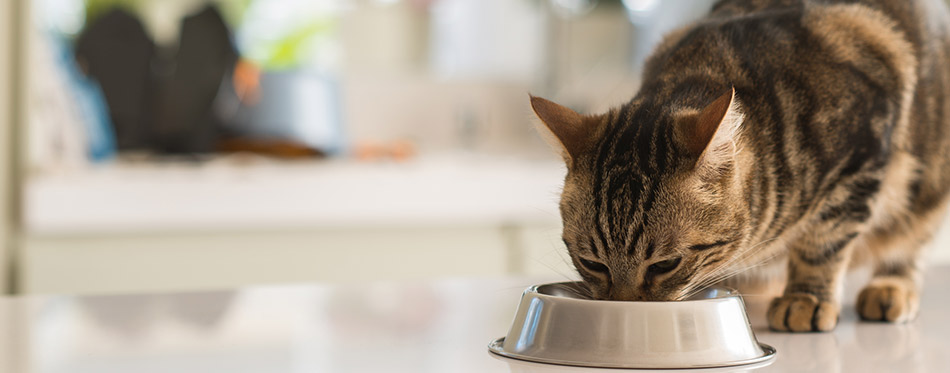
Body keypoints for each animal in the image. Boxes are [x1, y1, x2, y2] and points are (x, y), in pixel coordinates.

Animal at [532, 0, 950, 332]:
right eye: (592, 263)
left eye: (665, 265)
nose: (622, 309)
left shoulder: (861, 153)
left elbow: (823, 241)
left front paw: (807, 297)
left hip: (927, 189)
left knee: (908, 244)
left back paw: (891, 287)